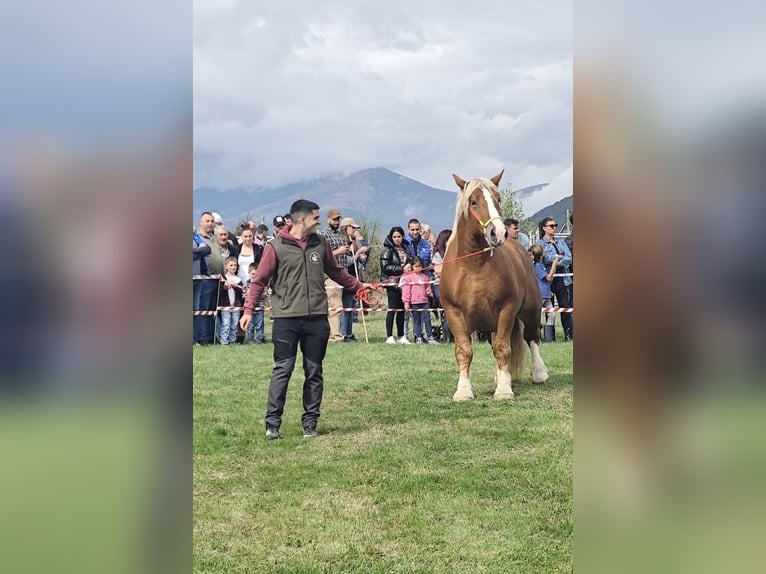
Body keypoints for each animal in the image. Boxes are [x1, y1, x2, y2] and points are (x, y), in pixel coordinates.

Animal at [440, 170, 549, 401]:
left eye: (498, 199)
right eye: (473, 201)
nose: (498, 232)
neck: (473, 266)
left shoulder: (506, 310)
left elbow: (502, 348)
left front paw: (504, 390)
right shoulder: (453, 313)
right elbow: (464, 351)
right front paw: (463, 390)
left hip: (530, 310)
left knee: (532, 338)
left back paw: (539, 373)